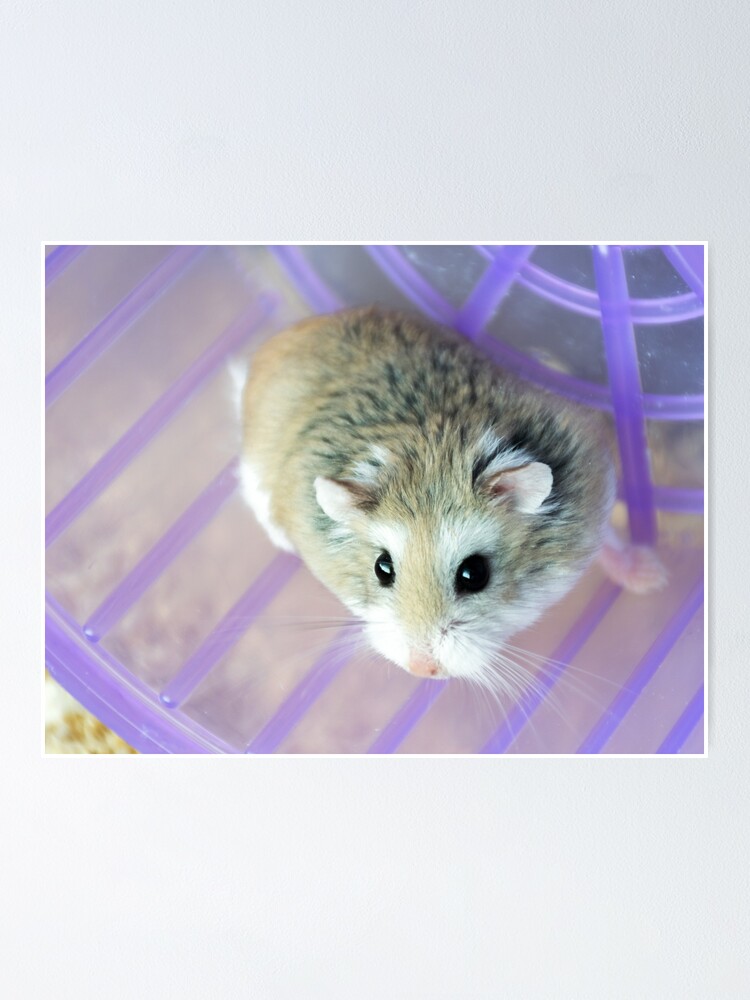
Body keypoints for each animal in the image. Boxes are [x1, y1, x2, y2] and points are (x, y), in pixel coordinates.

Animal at [238, 306, 653, 683]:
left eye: (474, 575)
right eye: (381, 569)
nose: (422, 670)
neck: (435, 460)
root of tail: (272, 346)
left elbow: (611, 541)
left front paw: (650, 579)